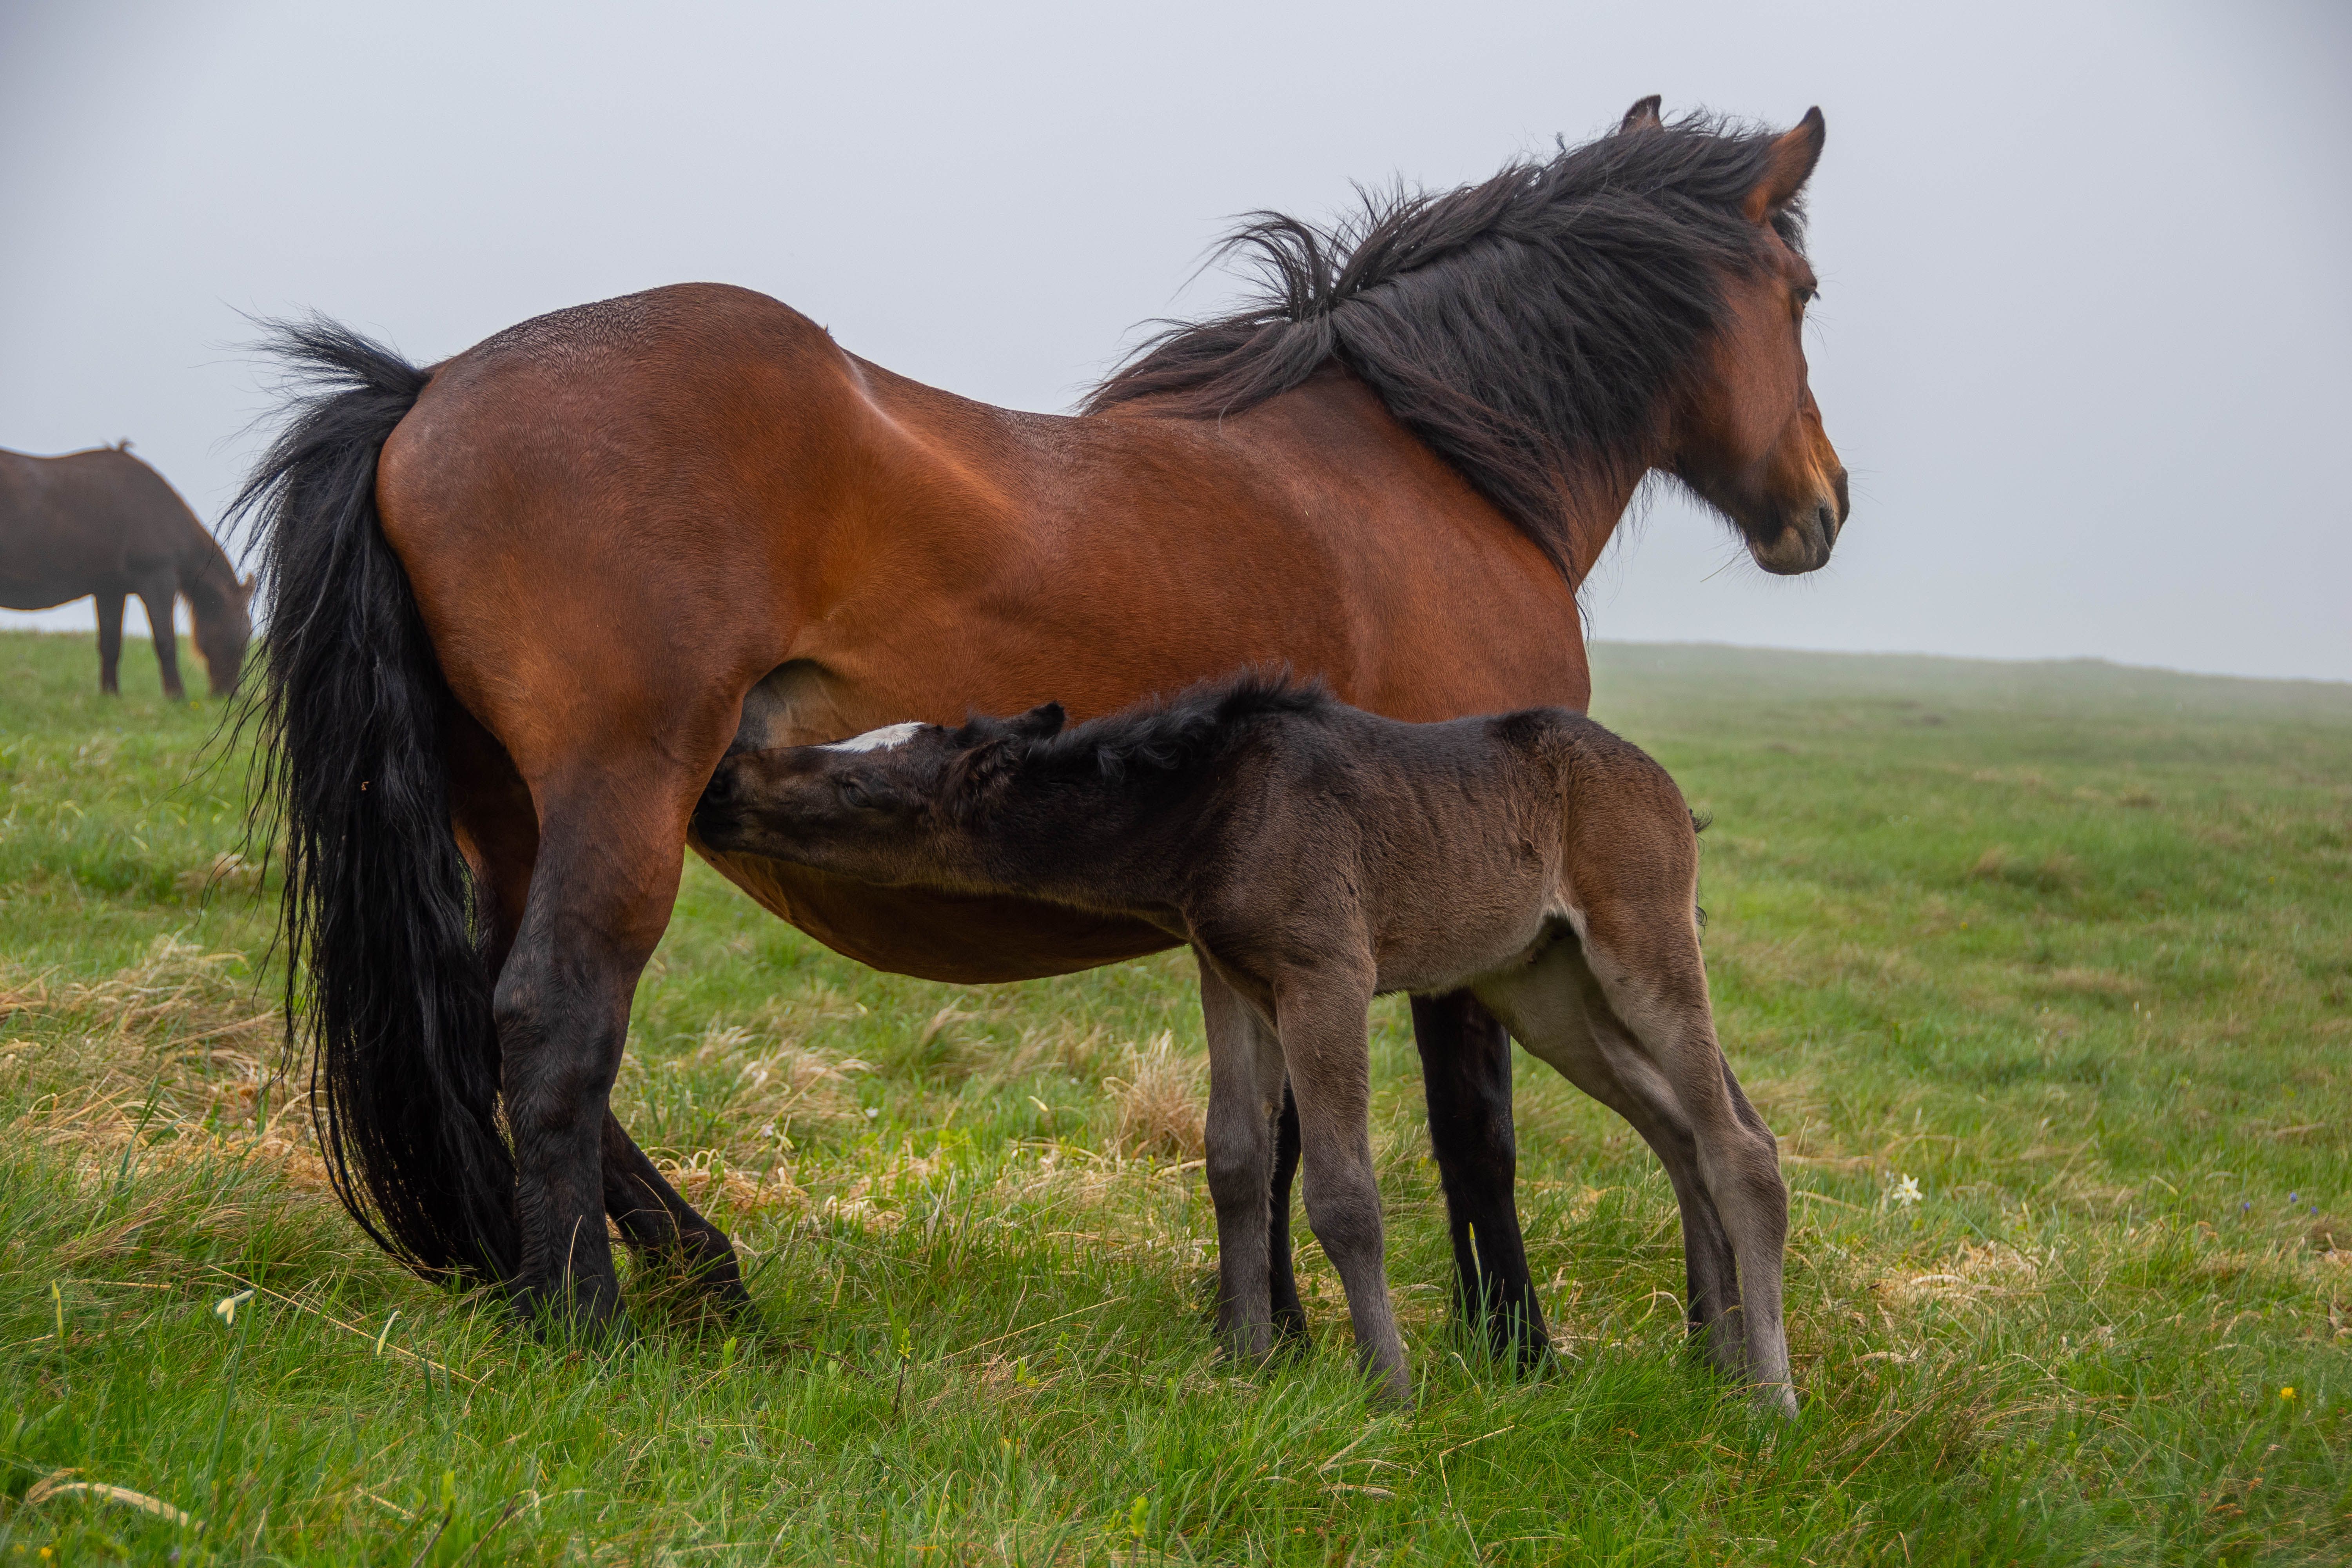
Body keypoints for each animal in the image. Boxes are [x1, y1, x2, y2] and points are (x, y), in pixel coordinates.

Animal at [1, 443, 255, 699]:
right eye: (243, 637)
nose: (228, 694)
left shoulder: (110, 592)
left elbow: (111, 645)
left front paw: (110, 695)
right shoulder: (158, 581)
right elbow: (165, 642)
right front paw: (176, 697)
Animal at [695, 675, 1796, 1413]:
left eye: (860, 792)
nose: (720, 784)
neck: (1211, 810)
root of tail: (1664, 788)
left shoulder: (1326, 976)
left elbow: (1342, 1191)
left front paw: (1388, 1387)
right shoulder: (1229, 977)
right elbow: (1235, 1157)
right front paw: (1243, 1358)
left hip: (1641, 946)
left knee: (1741, 1143)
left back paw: (1770, 1397)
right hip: (1544, 987)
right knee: (1682, 1130)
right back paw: (1715, 1357)